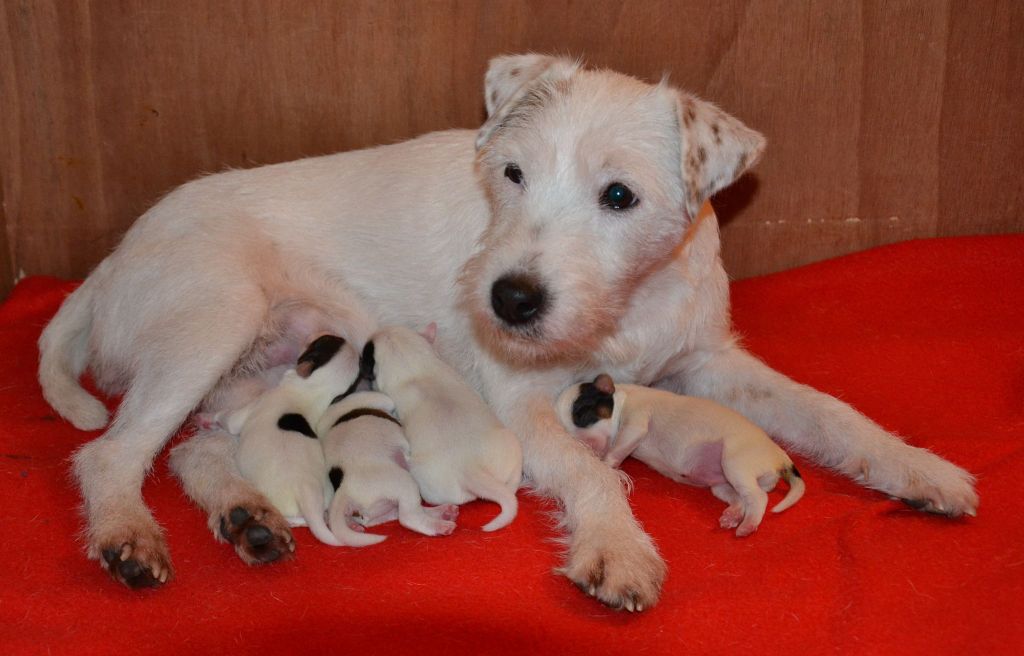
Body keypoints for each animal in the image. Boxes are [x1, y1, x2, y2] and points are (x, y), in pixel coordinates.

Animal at [216, 335, 364, 544]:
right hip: (326, 493)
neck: (311, 392)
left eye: (319, 342)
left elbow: (228, 420)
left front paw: (208, 418)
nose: (311, 336)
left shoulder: (250, 409)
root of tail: (305, 493)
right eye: (329, 340)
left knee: (292, 518)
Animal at [317, 388, 458, 540]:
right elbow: (384, 399)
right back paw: (439, 525)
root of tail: (345, 487)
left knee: (394, 513)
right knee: (408, 517)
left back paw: (444, 512)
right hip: (403, 482)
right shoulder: (377, 398)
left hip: (378, 509)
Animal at [557, 376, 802, 536]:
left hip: (736, 463)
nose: (580, 445)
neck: (623, 398)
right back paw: (733, 515)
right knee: (741, 498)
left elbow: (617, 449)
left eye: (582, 414)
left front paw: (606, 464)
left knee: (759, 497)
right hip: (722, 484)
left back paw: (748, 525)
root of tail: (780, 456)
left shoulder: (635, 423)